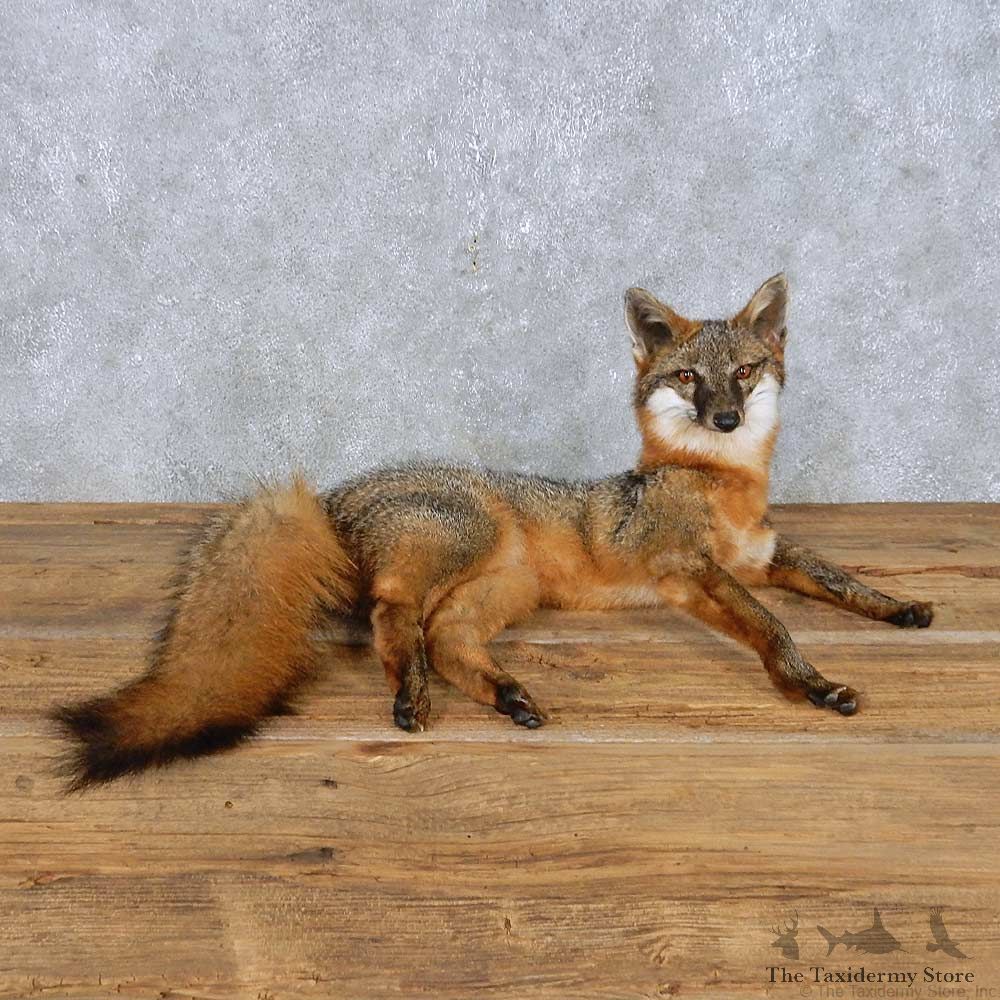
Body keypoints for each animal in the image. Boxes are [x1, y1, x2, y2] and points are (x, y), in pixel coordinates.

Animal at [53, 273, 934, 789]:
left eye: (746, 373)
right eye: (689, 377)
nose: (725, 417)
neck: (724, 486)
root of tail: (331, 495)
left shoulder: (762, 557)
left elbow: (838, 575)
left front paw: (898, 608)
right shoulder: (690, 570)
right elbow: (774, 625)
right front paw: (812, 682)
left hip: (500, 590)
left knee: (442, 637)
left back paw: (503, 693)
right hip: (465, 541)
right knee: (392, 613)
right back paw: (410, 691)